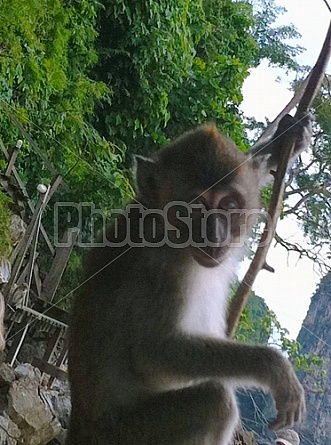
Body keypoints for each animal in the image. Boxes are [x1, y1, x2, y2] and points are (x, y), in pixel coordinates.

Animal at [67, 113, 312, 444]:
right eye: (195, 206)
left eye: (229, 205)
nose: (215, 236)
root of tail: (79, 427)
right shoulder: (160, 270)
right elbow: (152, 351)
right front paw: (273, 367)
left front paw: (287, 137)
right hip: (125, 433)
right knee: (215, 403)